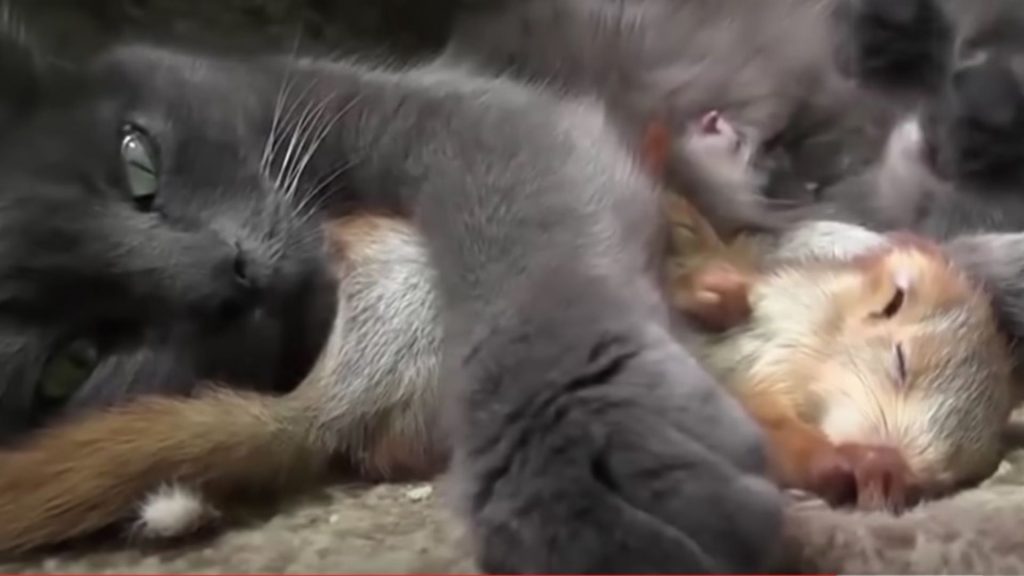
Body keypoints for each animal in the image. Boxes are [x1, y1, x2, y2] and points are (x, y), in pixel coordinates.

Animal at [0, 111, 1014, 556]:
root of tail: (343, 384)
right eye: (899, 355)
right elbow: (762, 413)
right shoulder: (747, 358)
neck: (805, 323)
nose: (905, 465)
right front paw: (850, 463)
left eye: (955, 470)